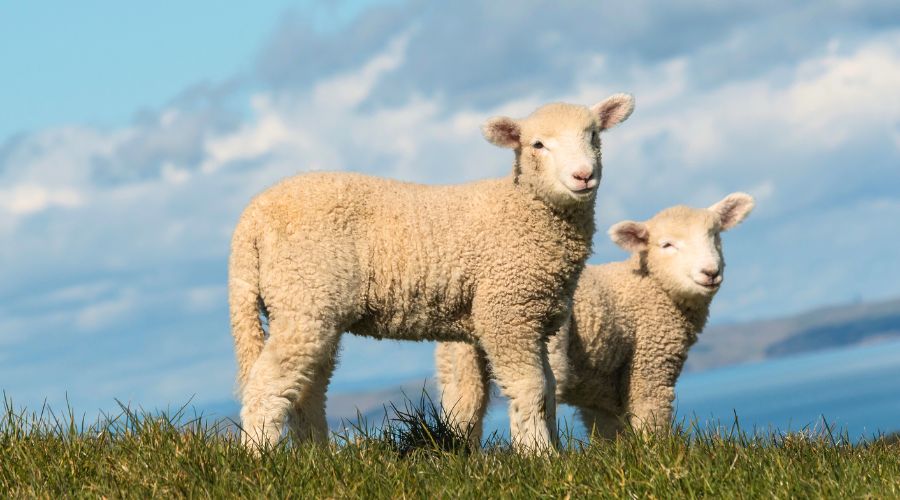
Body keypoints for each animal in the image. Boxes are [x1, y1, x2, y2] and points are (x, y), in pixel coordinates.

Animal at [229, 94, 636, 451]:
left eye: (593, 135)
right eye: (537, 144)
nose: (583, 175)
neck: (524, 210)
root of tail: (251, 217)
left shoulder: (536, 320)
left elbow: (548, 391)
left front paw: (545, 449)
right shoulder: (507, 314)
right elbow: (531, 388)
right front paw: (541, 456)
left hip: (310, 305)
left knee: (307, 387)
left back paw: (315, 455)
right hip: (304, 295)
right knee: (267, 385)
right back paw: (260, 457)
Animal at [436, 192, 755, 444]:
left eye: (715, 236)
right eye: (666, 245)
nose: (710, 272)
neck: (648, 286)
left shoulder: (601, 393)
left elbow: (608, 433)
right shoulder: (650, 365)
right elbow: (650, 417)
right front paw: (656, 456)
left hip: (458, 356)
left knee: (464, 408)